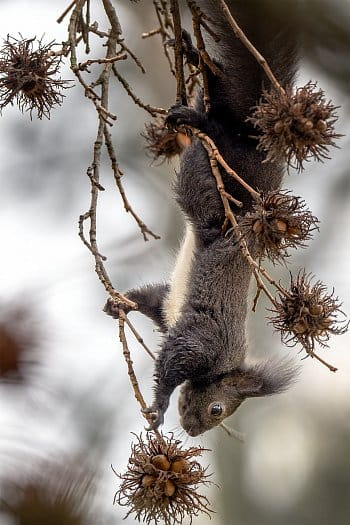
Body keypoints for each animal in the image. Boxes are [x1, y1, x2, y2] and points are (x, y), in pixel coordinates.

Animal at [105, 0, 300, 434]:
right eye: (217, 410)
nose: (194, 431)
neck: (223, 364)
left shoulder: (172, 311)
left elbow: (154, 300)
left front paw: (122, 302)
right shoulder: (205, 339)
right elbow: (173, 362)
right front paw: (159, 406)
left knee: (217, 85)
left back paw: (195, 56)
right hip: (211, 191)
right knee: (213, 142)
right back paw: (199, 118)